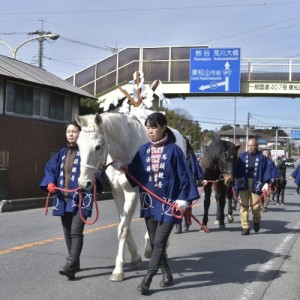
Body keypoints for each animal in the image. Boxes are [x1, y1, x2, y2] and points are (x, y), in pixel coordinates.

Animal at [75, 112, 185, 282]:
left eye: (98, 146)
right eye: (79, 145)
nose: (83, 183)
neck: (124, 149)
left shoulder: (132, 192)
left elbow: (123, 229)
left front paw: (118, 270)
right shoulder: (117, 192)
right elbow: (123, 225)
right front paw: (135, 257)